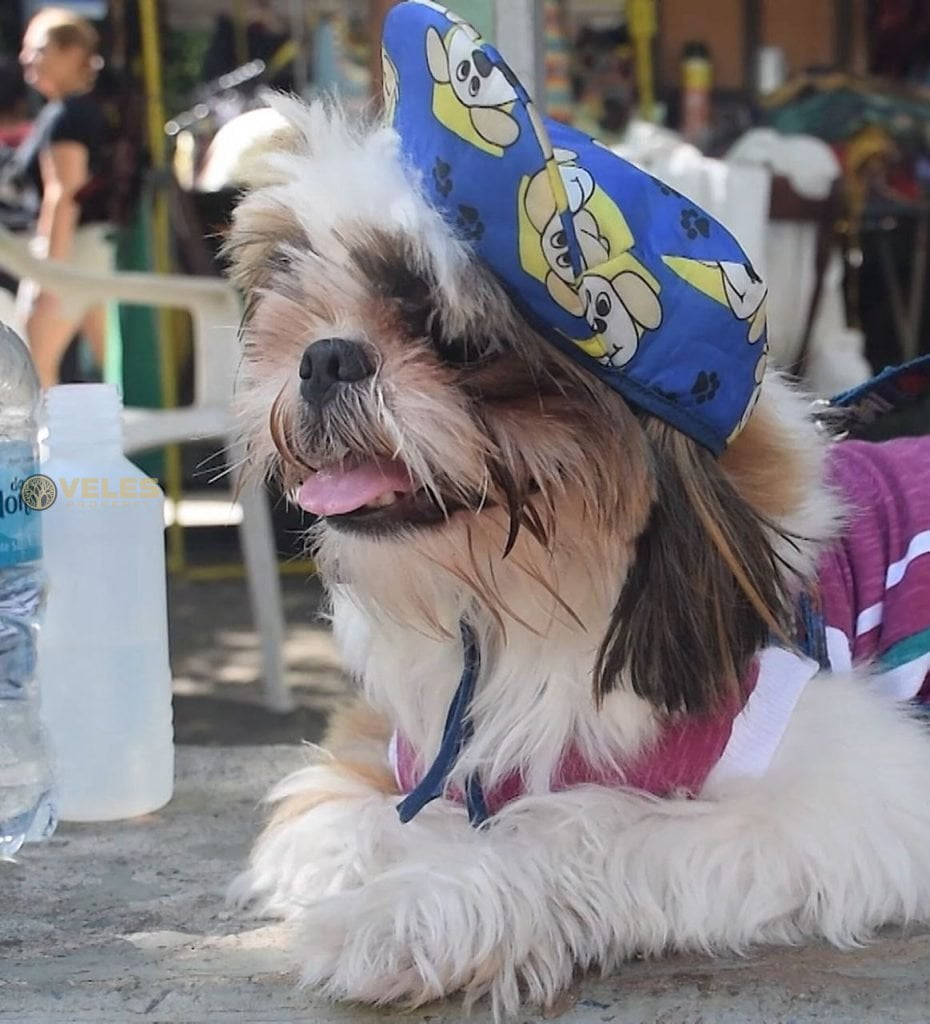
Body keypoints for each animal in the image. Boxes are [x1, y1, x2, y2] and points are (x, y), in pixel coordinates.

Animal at [225, 2, 930, 1015]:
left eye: (459, 337)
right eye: (298, 288)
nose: (326, 355)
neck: (529, 602)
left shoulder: (855, 789)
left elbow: (578, 824)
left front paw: (406, 912)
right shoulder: (387, 752)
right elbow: (334, 820)